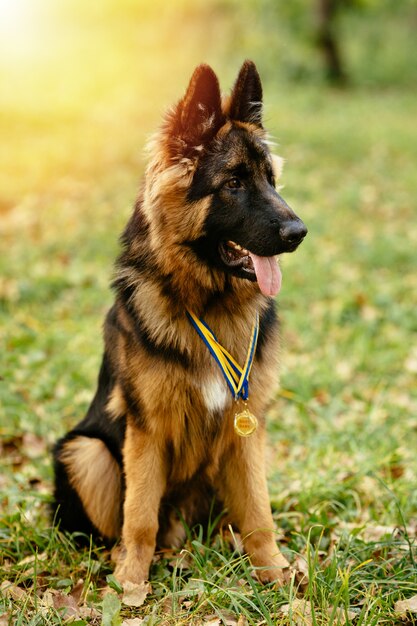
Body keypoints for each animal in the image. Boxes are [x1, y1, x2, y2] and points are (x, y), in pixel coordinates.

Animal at [52, 61, 306, 584]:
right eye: (234, 183)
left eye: (271, 180)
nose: (300, 233)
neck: (207, 304)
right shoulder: (146, 430)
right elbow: (139, 516)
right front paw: (130, 582)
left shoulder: (246, 429)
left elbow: (259, 512)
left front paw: (273, 572)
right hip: (85, 452)